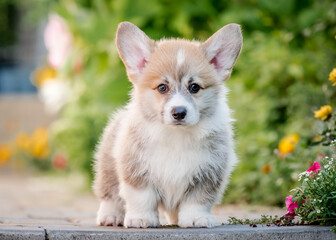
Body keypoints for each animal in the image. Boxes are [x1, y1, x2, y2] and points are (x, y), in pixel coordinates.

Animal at [93, 21, 243, 228]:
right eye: (162, 88)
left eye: (194, 87)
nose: (178, 112)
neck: (176, 135)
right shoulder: (136, 169)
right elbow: (142, 198)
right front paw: (141, 219)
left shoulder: (208, 172)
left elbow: (197, 200)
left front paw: (196, 219)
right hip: (107, 167)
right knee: (110, 194)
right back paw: (110, 216)